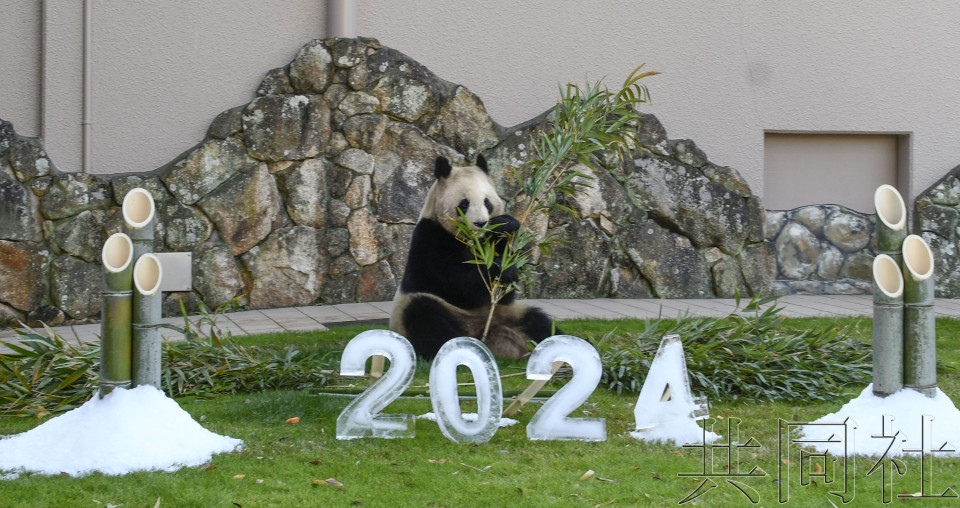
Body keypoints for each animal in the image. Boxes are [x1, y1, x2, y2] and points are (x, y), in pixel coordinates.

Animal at [390, 154, 558, 360]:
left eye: (487, 202)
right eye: (464, 203)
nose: (481, 223)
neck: (473, 240)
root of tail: (484, 335)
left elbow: (504, 293)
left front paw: (507, 226)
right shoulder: (429, 236)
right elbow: (453, 281)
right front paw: (500, 271)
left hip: (509, 314)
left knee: (538, 322)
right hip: (419, 310)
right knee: (426, 317)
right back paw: (460, 350)